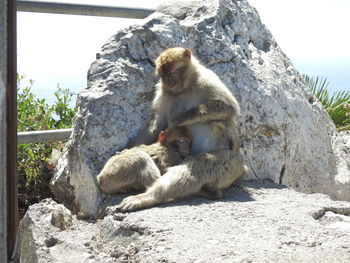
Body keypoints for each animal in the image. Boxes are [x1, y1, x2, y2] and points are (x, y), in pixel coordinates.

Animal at [117, 47, 249, 212]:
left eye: (172, 74)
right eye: (163, 76)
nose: (168, 81)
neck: (186, 87)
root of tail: (241, 170)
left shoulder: (206, 78)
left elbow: (228, 107)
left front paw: (179, 118)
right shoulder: (163, 91)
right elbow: (156, 122)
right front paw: (127, 150)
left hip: (230, 162)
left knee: (197, 167)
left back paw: (149, 197)